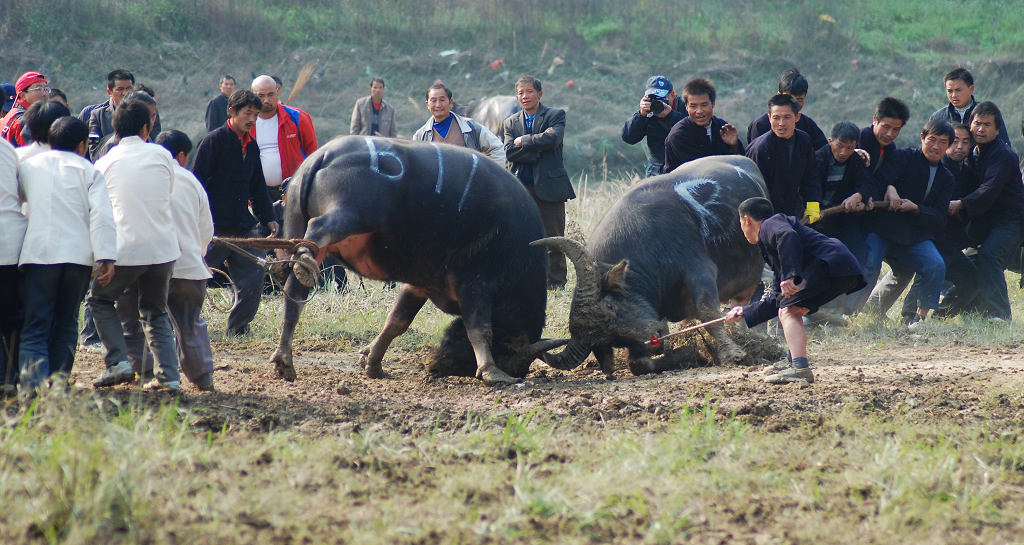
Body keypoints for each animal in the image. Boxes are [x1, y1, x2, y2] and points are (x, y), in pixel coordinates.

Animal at [268, 135, 565, 383]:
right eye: (510, 352)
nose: (433, 366)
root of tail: (323, 156)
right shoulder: (476, 284)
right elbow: (480, 329)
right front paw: (492, 371)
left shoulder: (421, 284)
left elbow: (396, 322)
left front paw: (372, 361)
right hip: (349, 215)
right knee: (319, 229)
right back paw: (305, 260)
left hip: (297, 222)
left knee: (295, 287)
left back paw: (285, 357)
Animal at [536, 153, 770, 374]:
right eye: (608, 339)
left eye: (610, 306)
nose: (653, 339)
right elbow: (638, 363)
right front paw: (690, 352)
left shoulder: (699, 271)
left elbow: (708, 312)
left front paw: (733, 353)